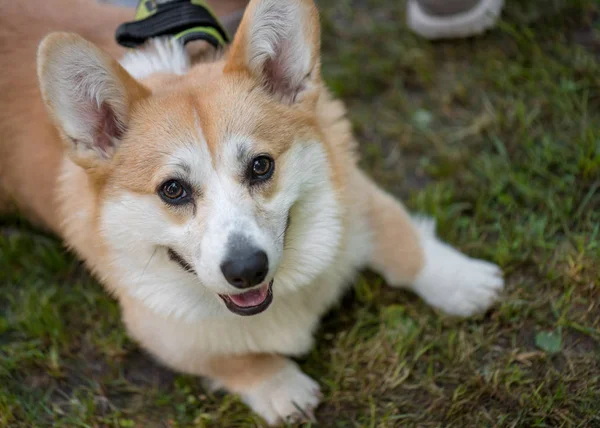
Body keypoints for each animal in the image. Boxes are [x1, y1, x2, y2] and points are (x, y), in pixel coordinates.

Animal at [1, 0, 502, 422]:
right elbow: (234, 359)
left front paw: (465, 282)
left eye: (261, 165)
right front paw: (282, 388)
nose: (246, 270)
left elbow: (402, 239)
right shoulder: (159, 329)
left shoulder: (353, 196)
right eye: (173, 190)